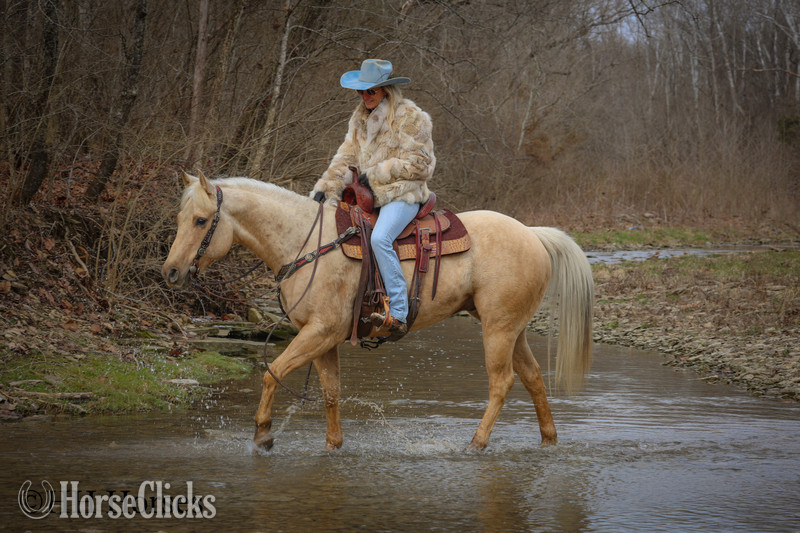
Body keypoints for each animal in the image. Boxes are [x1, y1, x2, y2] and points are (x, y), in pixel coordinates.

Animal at [162, 171, 594, 453]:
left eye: (201, 220)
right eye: (180, 217)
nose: (171, 271)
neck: (307, 244)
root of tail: (533, 234)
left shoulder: (318, 332)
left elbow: (273, 373)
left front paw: (264, 435)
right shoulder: (323, 339)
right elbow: (330, 392)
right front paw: (333, 446)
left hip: (498, 329)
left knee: (501, 383)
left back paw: (476, 443)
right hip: (513, 328)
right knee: (534, 378)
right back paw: (549, 440)